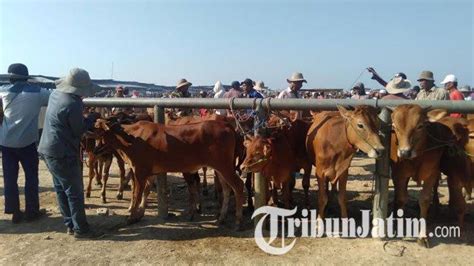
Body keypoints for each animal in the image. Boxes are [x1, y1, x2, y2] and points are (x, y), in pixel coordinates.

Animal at [93, 118, 244, 229]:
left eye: (100, 133)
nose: (95, 150)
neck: (132, 139)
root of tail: (226, 125)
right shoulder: (149, 173)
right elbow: (146, 191)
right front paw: (140, 213)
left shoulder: (140, 171)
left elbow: (137, 194)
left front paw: (131, 217)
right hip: (220, 169)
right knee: (226, 189)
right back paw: (221, 218)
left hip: (224, 167)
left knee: (238, 185)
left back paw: (238, 221)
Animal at [388, 104, 470, 247]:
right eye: (394, 126)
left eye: (420, 126)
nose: (404, 152)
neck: (416, 158)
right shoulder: (399, 174)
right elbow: (401, 199)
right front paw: (399, 224)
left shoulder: (431, 174)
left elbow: (425, 200)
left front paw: (422, 236)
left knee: (436, 188)